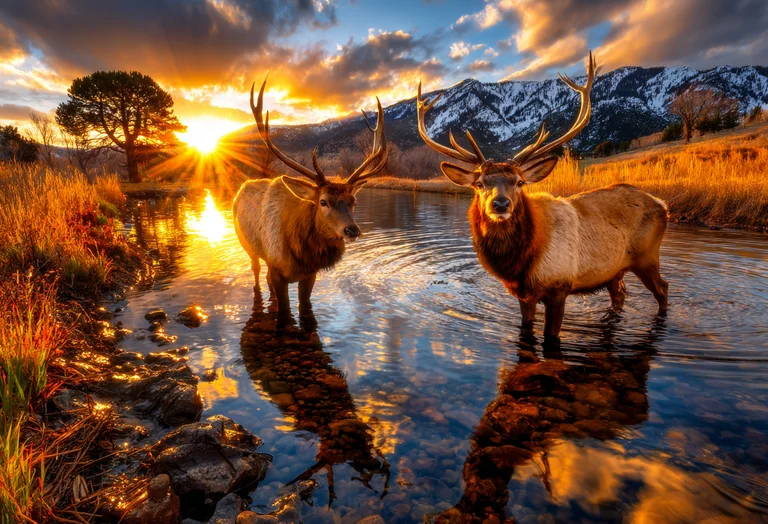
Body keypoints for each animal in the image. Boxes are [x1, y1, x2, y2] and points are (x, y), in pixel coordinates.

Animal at [233, 78, 388, 314]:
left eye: (354, 201)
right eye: (322, 201)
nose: (352, 230)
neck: (301, 255)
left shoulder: (309, 275)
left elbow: (305, 306)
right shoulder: (277, 269)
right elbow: (284, 309)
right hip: (249, 248)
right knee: (257, 274)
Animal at [417, 52, 668, 340]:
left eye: (519, 182)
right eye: (479, 183)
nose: (500, 203)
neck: (519, 264)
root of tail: (663, 205)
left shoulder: (560, 287)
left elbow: (551, 334)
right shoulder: (523, 295)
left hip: (647, 257)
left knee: (664, 289)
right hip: (614, 271)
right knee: (621, 296)